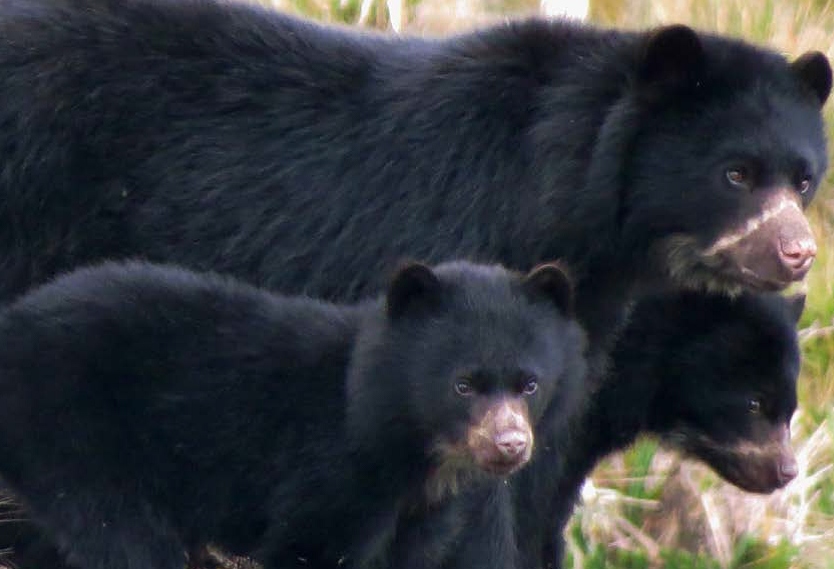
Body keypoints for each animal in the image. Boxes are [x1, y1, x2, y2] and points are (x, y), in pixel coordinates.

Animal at [0, 260, 584, 568]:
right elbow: (308, 546)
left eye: (529, 384)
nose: (510, 445)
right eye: (462, 385)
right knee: (121, 533)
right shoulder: (332, 474)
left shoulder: (424, 515)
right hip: (70, 428)